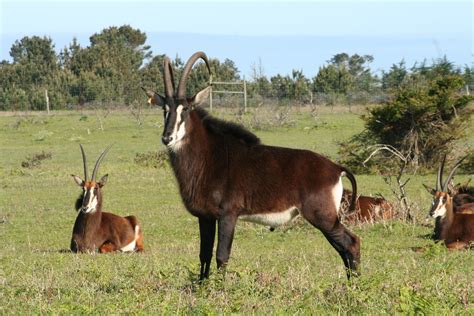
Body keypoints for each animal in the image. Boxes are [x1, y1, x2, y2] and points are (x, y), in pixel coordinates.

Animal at [143, 51, 360, 278]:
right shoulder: (205, 217)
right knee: (344, 249)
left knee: (351, 243)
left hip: (323, 217)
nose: (167, 137)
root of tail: (336, 169)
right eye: (164, 109)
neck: (208, 156)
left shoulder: (228, 214)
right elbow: (204, 256)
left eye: (185, 109)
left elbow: (221, 256)